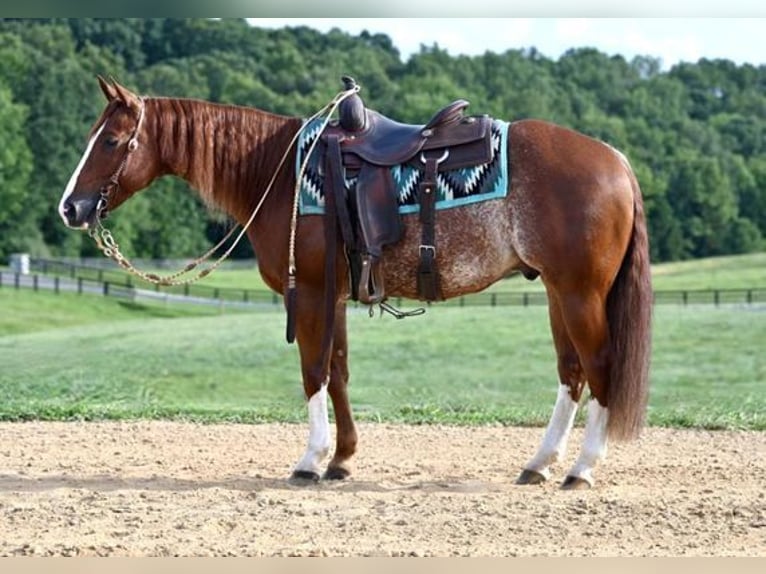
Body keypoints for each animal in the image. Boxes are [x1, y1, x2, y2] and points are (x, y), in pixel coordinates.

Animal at [58, 76, 656, 490]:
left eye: (111, 141)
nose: (70, 208)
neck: (279, 172)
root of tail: (617, 161)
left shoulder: (310, 292)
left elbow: (313, 372)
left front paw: (310, 460)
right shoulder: (335, 295)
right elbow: (339, 371)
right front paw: (342, 459)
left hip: (579, 293)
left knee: (600, 368)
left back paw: (582, 468)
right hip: (557, 291)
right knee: (572, 374)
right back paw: (539, 463)